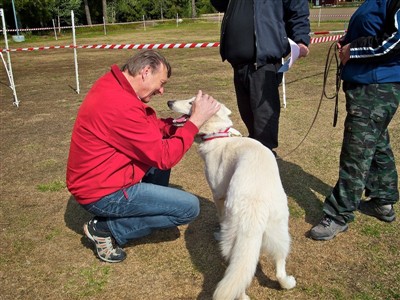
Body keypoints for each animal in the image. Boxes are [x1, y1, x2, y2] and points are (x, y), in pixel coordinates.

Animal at [167, 97, 296, 298]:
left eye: (191, 103)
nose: (169, 101)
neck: (217, 135)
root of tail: (254, 209)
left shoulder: (217, 193)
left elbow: (219, 213)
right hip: (281, 233)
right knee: (279, 267)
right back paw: (287, 283)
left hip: (232, 239)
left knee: (236, 277)